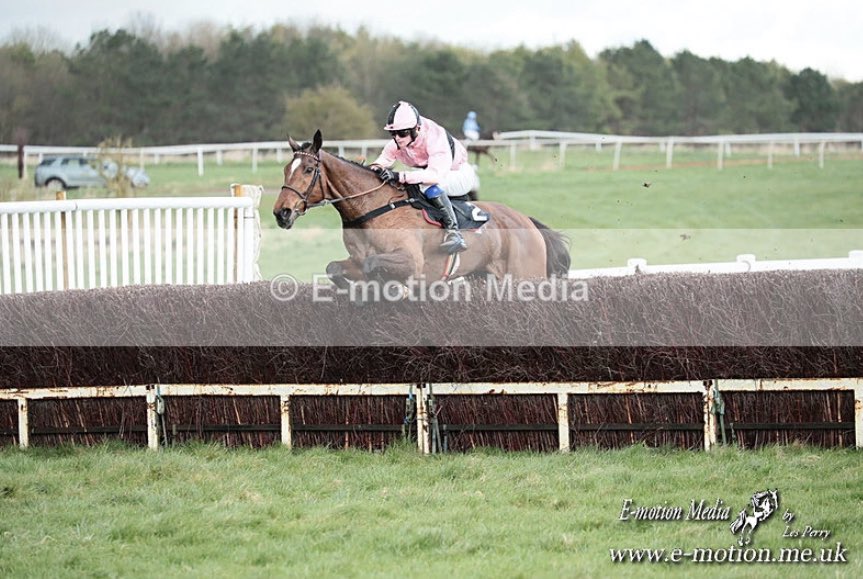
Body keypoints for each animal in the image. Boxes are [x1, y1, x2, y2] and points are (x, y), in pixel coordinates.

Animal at [274, 129, 572, 288]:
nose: (281, 213)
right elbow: (333, 268)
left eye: (308, 169)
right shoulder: (354, 260)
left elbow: (373, 265)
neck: (372, 208)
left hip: (526, 275)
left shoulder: (410, 259)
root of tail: (529, 222)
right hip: (482, 277)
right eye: (286, 169)